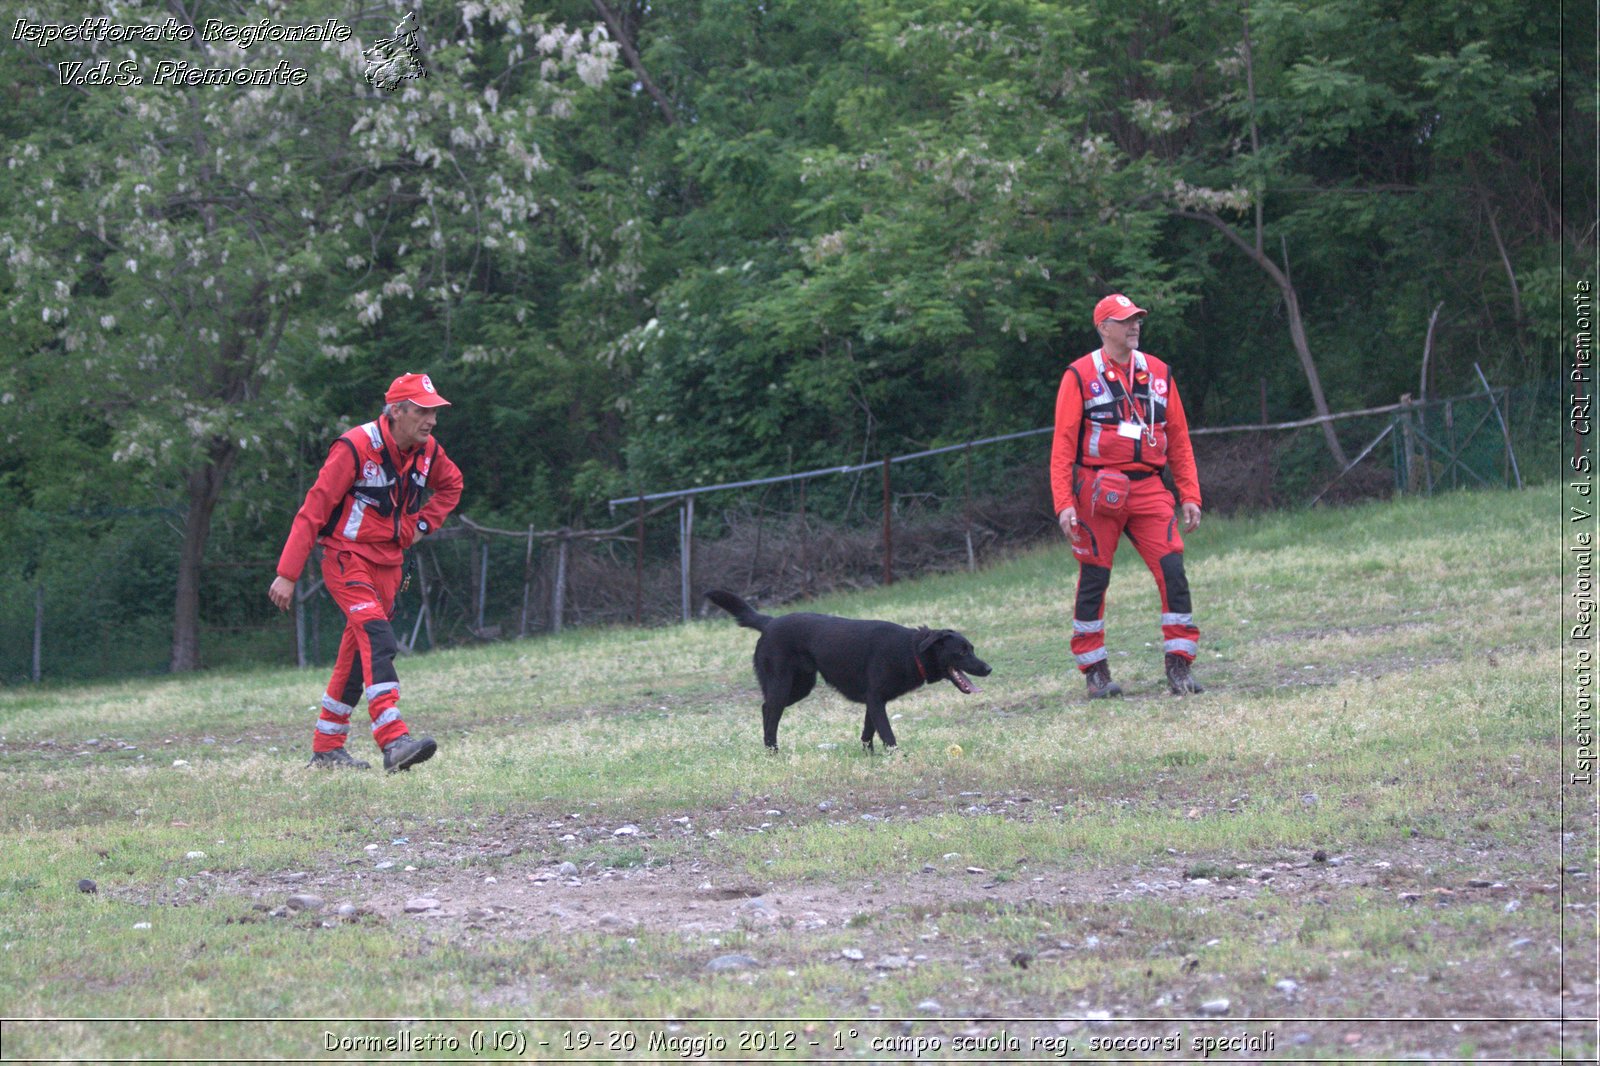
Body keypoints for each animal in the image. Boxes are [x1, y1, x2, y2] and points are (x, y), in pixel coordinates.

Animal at [704, 585, 985, 752]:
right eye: (962, 652)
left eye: (972, 648)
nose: (989, 668)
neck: (911, 650)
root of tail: (769, 623)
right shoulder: (876, 699)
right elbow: (887, 734)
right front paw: (897, 757)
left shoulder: (874, 701)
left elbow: (868, 733)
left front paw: (869, 756)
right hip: (782, 684)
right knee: (770, 711)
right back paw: (772, 750)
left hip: (801, 686)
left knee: (765, 708)